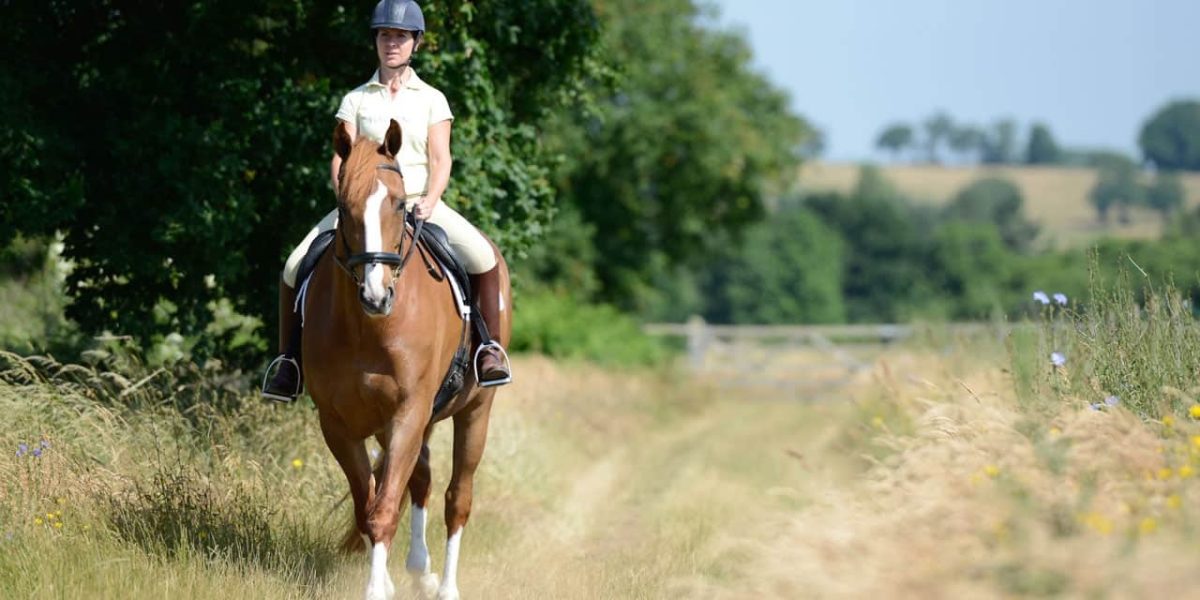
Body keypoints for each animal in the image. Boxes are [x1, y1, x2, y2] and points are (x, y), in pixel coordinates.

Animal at [302, 118, 511, 600]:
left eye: (399, 204)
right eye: (344, 205)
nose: (376, 295)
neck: (367, 328)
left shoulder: (408, 413)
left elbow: (383, 509)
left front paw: (377, 590)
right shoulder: (338, 424)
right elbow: (370, 506)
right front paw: (387, 582)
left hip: (476, 410)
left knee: (457, 498)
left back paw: (447, 586)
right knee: (421, 481)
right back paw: (421, 570)